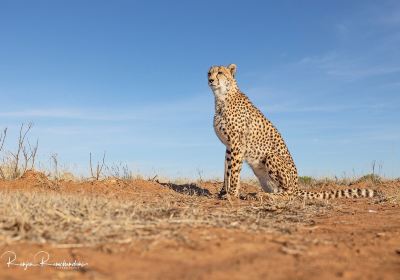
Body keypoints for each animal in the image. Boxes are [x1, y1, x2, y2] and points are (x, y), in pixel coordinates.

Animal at [209, 63, 378, 201]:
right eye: (209, 72)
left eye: (220, 72)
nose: (210, 80)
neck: (222, 97)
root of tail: (297, 186)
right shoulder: (229, 146)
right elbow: (227, 170)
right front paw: (223, 192)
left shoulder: (237, 145)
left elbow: (234, 172)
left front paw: (231, 194)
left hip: (271, 156)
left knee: (289, 194)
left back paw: (262, 195)